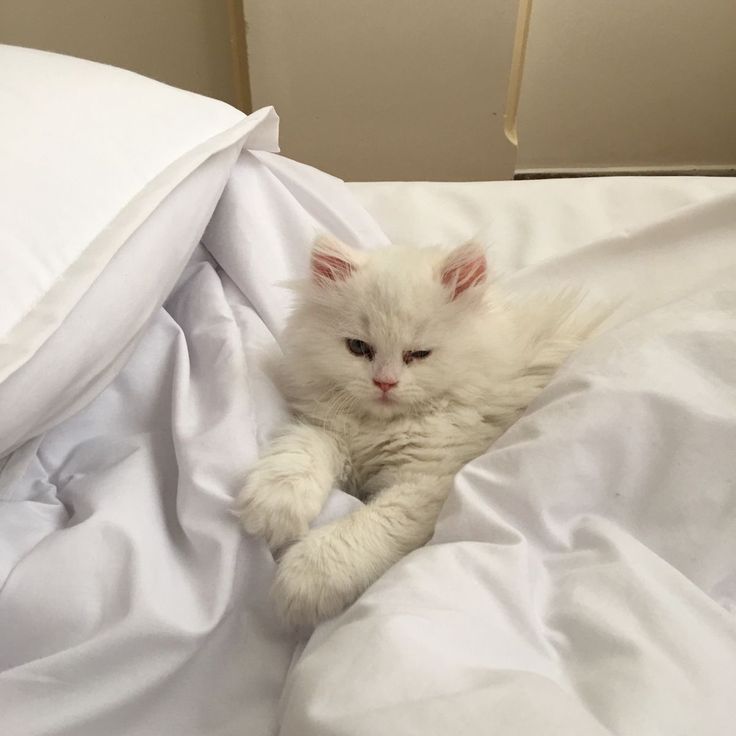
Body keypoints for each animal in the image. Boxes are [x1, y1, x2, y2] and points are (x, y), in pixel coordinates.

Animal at [239, 234, 600, 628]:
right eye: (358, 347)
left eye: (418, 354)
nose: (384, 382)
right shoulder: (332, 432)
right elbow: (302, 452)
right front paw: (275, 504)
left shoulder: (425, 484)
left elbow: (361, 529)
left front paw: (300, 582)